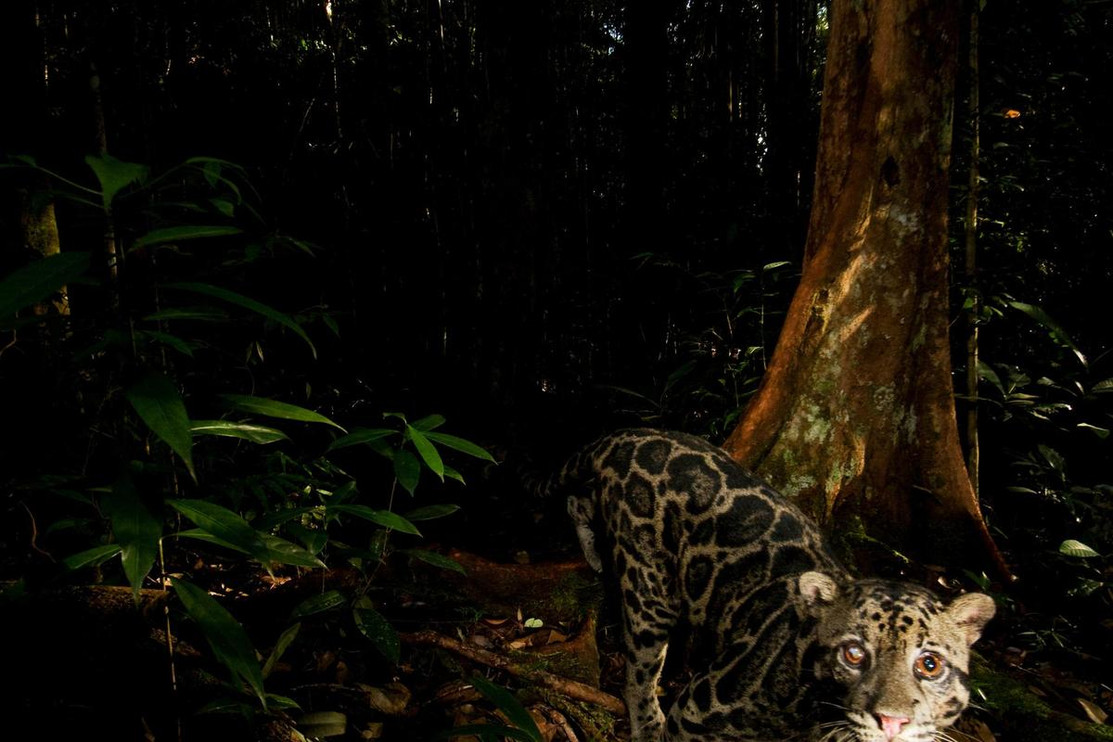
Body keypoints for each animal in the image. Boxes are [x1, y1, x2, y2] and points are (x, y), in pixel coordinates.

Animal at [540, 428, 995, 742]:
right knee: (641, 671)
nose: (893, 721)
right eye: (853, 654)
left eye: (930, 664)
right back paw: (647, 722)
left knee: (578, 499)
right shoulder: (699, 707)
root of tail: (630, 434)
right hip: (650, 590)